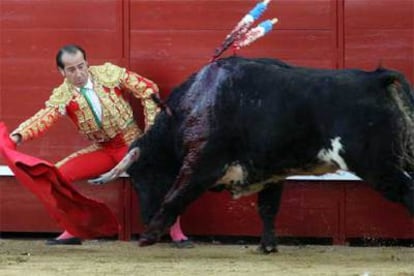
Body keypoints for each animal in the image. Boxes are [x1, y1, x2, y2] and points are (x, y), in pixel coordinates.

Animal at [91, 55, 414, 252]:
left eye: (140, 175)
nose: (145, 217)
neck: (195, 104)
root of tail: (375, 79)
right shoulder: (272, 172)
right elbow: (267, 208)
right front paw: (268, 246)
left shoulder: (202, 164)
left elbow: (175, 197)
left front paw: (148, 236)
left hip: (376, 164)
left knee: (406, 191)